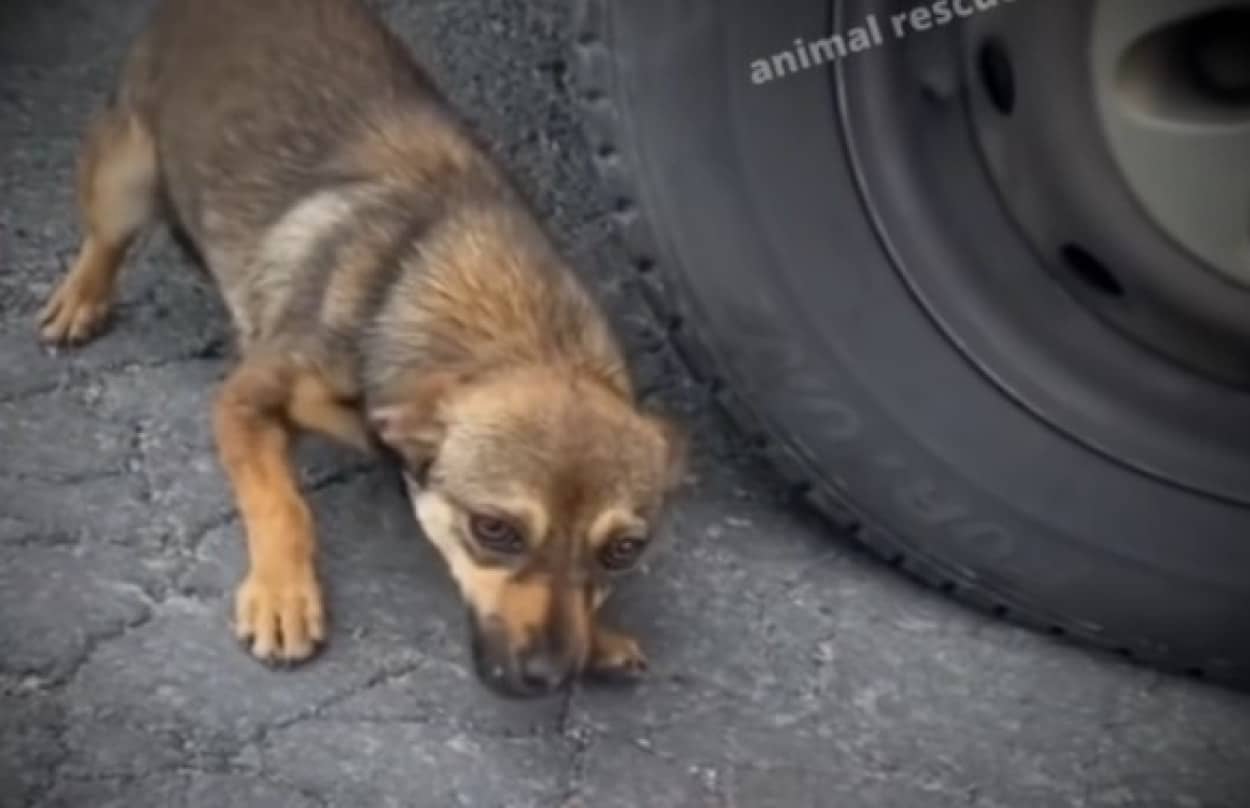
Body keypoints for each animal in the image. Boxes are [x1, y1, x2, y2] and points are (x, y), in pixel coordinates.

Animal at [36, 0, 685, 700]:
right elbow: (281, 503)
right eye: (494, 530)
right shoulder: (246, 399)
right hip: (126, 173)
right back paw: (80, 298)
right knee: (106, 239)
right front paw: (283, 595)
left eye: (623, 550)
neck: (510, 328)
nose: (548, 679)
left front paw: (603, 635)